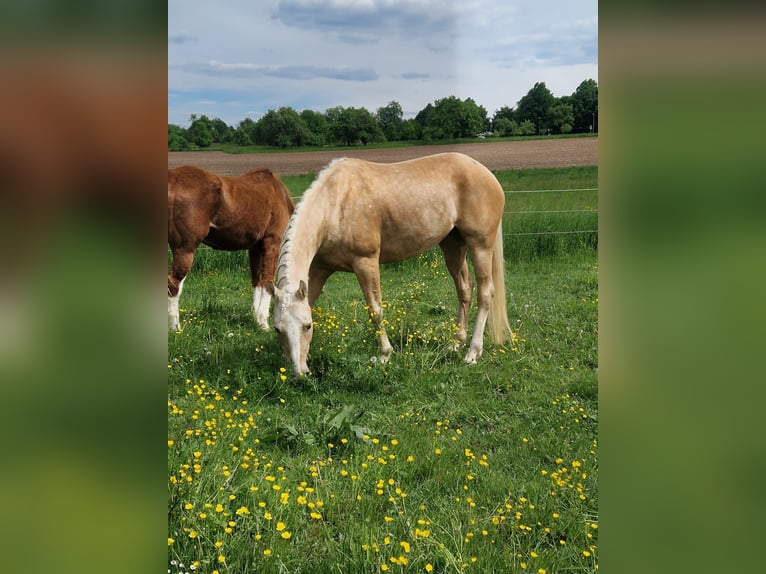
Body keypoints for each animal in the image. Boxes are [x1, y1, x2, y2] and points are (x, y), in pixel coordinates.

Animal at [168, 165, 295, 331]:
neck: (280, 196)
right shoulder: (272, 243)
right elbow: (267, 282)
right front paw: (263, 323)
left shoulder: (255, 247)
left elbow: (257, 281)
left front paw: (255, 319)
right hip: (185, 249)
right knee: (173, 284)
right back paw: (175, 328)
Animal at [270, 152, 512, 376]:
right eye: (277, 329)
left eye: (307, 326)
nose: (299, 373)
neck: (335, 204)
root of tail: (486, 173)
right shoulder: (320, 269)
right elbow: (311, 302)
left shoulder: (365, 262)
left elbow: (375, 310)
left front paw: (384, 355)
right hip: (453, 246)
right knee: (464, 289)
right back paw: (456, 344)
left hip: (480, 246)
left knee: (485, 293)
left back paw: (472, 352)